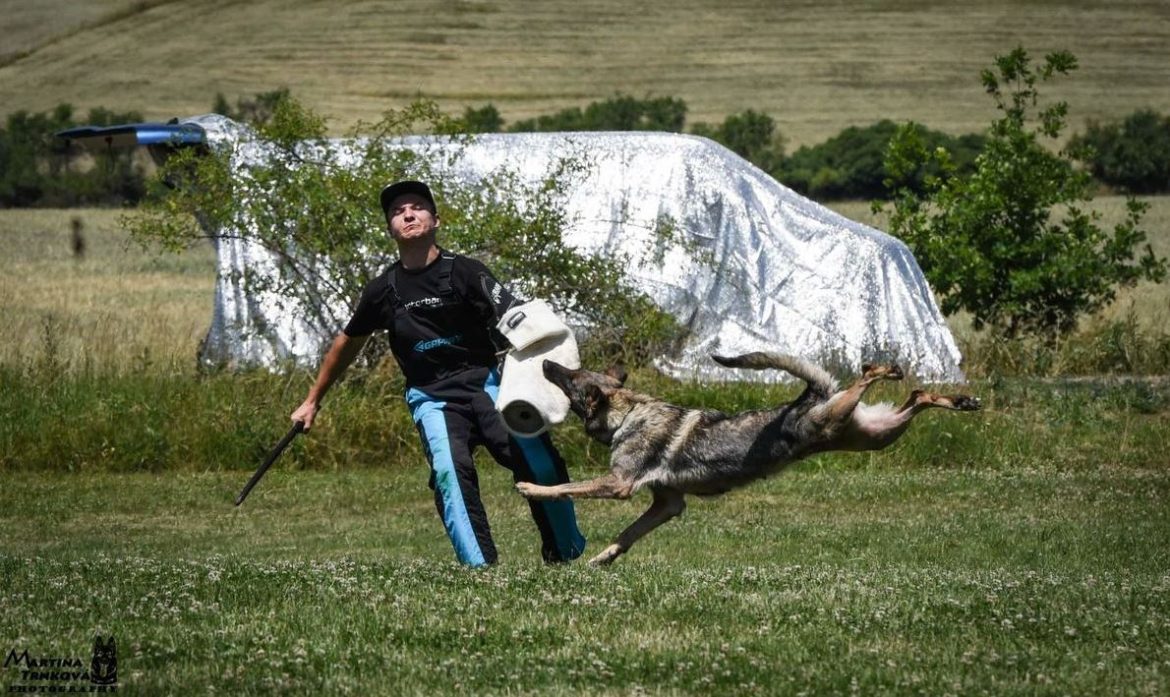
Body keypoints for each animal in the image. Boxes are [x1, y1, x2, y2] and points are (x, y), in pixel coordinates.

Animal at [517, 353, 982, 566]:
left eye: (571, 379)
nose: (546, 362)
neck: (629, 413)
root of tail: (809, 397)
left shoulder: (618, 485)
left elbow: (565, 488)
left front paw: (531, 488)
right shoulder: (667, 504)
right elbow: (628, 534)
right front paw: (603, 558)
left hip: (840, 417)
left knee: (868, 378)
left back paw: (884, 369)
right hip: (877, 435)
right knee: (919, 396)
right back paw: (961, 401)